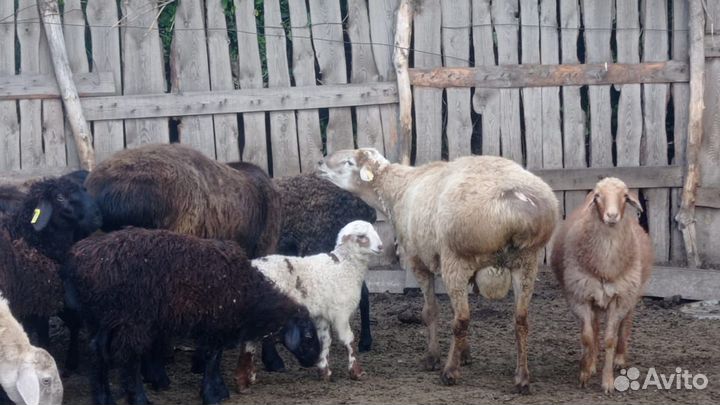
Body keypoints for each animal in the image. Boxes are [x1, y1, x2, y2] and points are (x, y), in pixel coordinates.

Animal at [64, 227, 321, 405]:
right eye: (308, 337)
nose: (314, 361)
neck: (248, 293)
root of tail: (79, 257)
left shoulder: (217, 325)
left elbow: (214, 357)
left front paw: (219, 389)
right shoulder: (215, 322)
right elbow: (211, 356)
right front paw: (212, 394)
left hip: (100, 318)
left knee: (98, 351)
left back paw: (103, 397)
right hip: (132, 319)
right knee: (129, 357)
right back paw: (139, 398)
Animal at [235, 220, 383, 389]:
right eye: (361, 236)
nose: (380, 247)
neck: (345, 265)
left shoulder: (322, 315)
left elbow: (325, 340)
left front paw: (324, 372)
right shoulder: (341, 312)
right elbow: (348, 340)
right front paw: (356, 372)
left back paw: (248, 376)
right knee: (249, 342)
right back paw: (243, 380)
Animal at [318, 148, 559, 391]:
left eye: (349, 162)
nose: (320, 163)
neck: (397, 189)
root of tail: (514, 211)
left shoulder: (418, 261)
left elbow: (431, 311)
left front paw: (433, 358)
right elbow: (452, 310)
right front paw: (465, 355)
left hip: (457, 259)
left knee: (462, 319)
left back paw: (449, 372)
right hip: (526, 262)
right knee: (521, 320)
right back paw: (522, 377)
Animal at [550, 177, 653, 393]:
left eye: (625, 196)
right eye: (598, 196)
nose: (612, 216)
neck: (605, 265)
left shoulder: (619, 299)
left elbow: (610, 340)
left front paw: (608, 382)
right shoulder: (580, 296)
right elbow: (587, 336)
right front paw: (585, 372)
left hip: (632, 294)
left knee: (625, 324)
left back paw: (620, 359)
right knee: (595, 327)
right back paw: (592, 362)